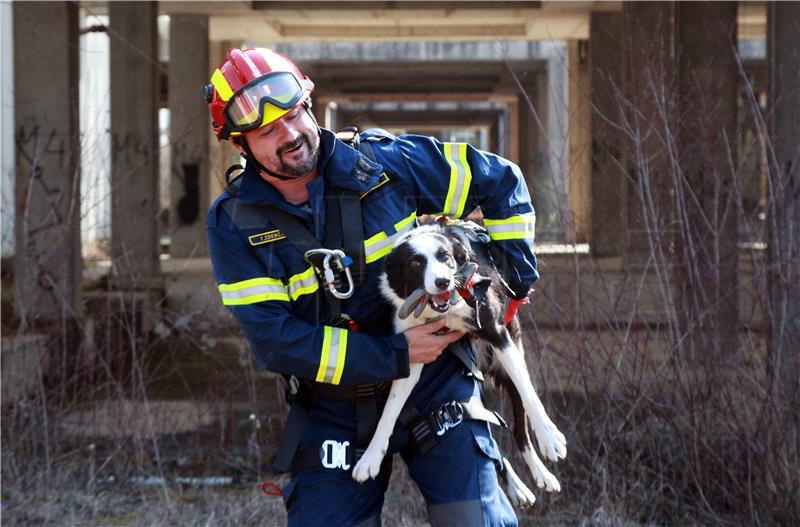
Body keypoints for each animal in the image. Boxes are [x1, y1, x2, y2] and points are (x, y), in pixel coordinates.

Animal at [352, 221, 568, 506]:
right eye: (415, 263)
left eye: (445, 257)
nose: (443, 281)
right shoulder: (414, 351)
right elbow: (389, 412)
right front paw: (371, 456)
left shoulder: (498, 334)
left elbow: (530, 394)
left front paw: (549, 437)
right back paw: (518, 485)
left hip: (506, 361)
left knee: (520, 425)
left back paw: (541, 474)